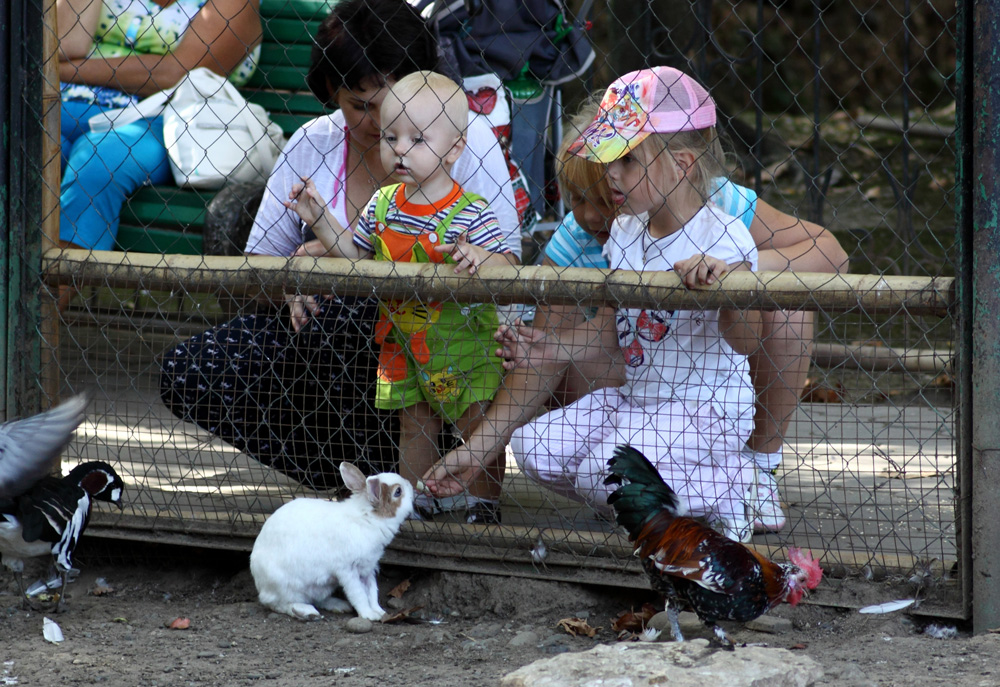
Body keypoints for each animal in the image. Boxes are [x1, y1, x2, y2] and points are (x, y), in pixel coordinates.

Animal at [250, 462, 414, 624]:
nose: (411, 485)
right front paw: (369, 615)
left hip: (320, 587)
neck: (368, 519)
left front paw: (380, 612)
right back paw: (306, 612)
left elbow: (372, 592)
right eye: (398, 491)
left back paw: (339, 605)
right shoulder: (348, 571)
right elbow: (359, 594)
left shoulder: (368, 569)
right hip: (283, 585)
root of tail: (259, 582)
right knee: (278, 604)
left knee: (316, 599)